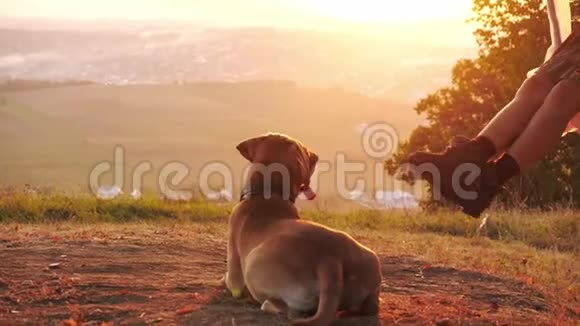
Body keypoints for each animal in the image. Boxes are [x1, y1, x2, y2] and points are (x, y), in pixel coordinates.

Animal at [224, 133, 382, 326]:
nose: (316, 155)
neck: (266, 194)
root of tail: (330, 260)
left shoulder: (236, 278)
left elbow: (230, 281)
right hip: (371, 258)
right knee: (371, 306)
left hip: (255, 265)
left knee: (290, 311)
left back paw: (269, 305)